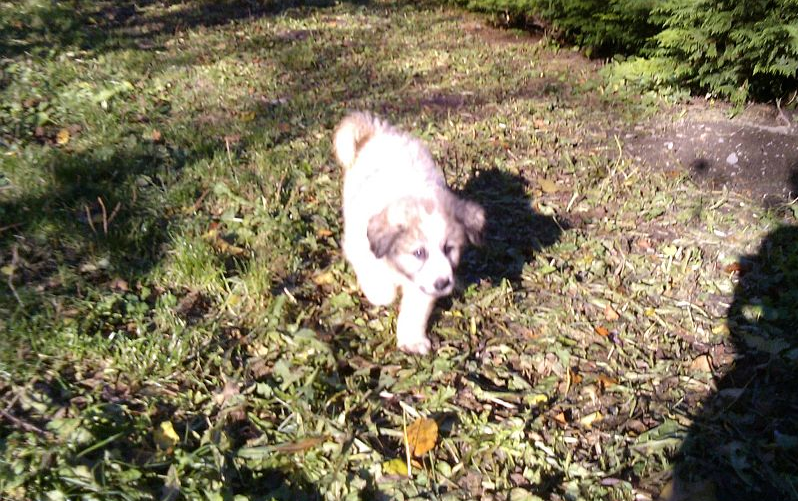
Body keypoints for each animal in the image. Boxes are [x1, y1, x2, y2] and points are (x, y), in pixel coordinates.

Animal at [333, 111, 485, 354]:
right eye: (419, 253)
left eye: (448, 249)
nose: (443, 284)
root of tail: (381, 132)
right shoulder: (360, 247)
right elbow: (376, 280)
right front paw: (384, 293)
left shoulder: (423, 282)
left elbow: (416, 309)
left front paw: (412, 340)